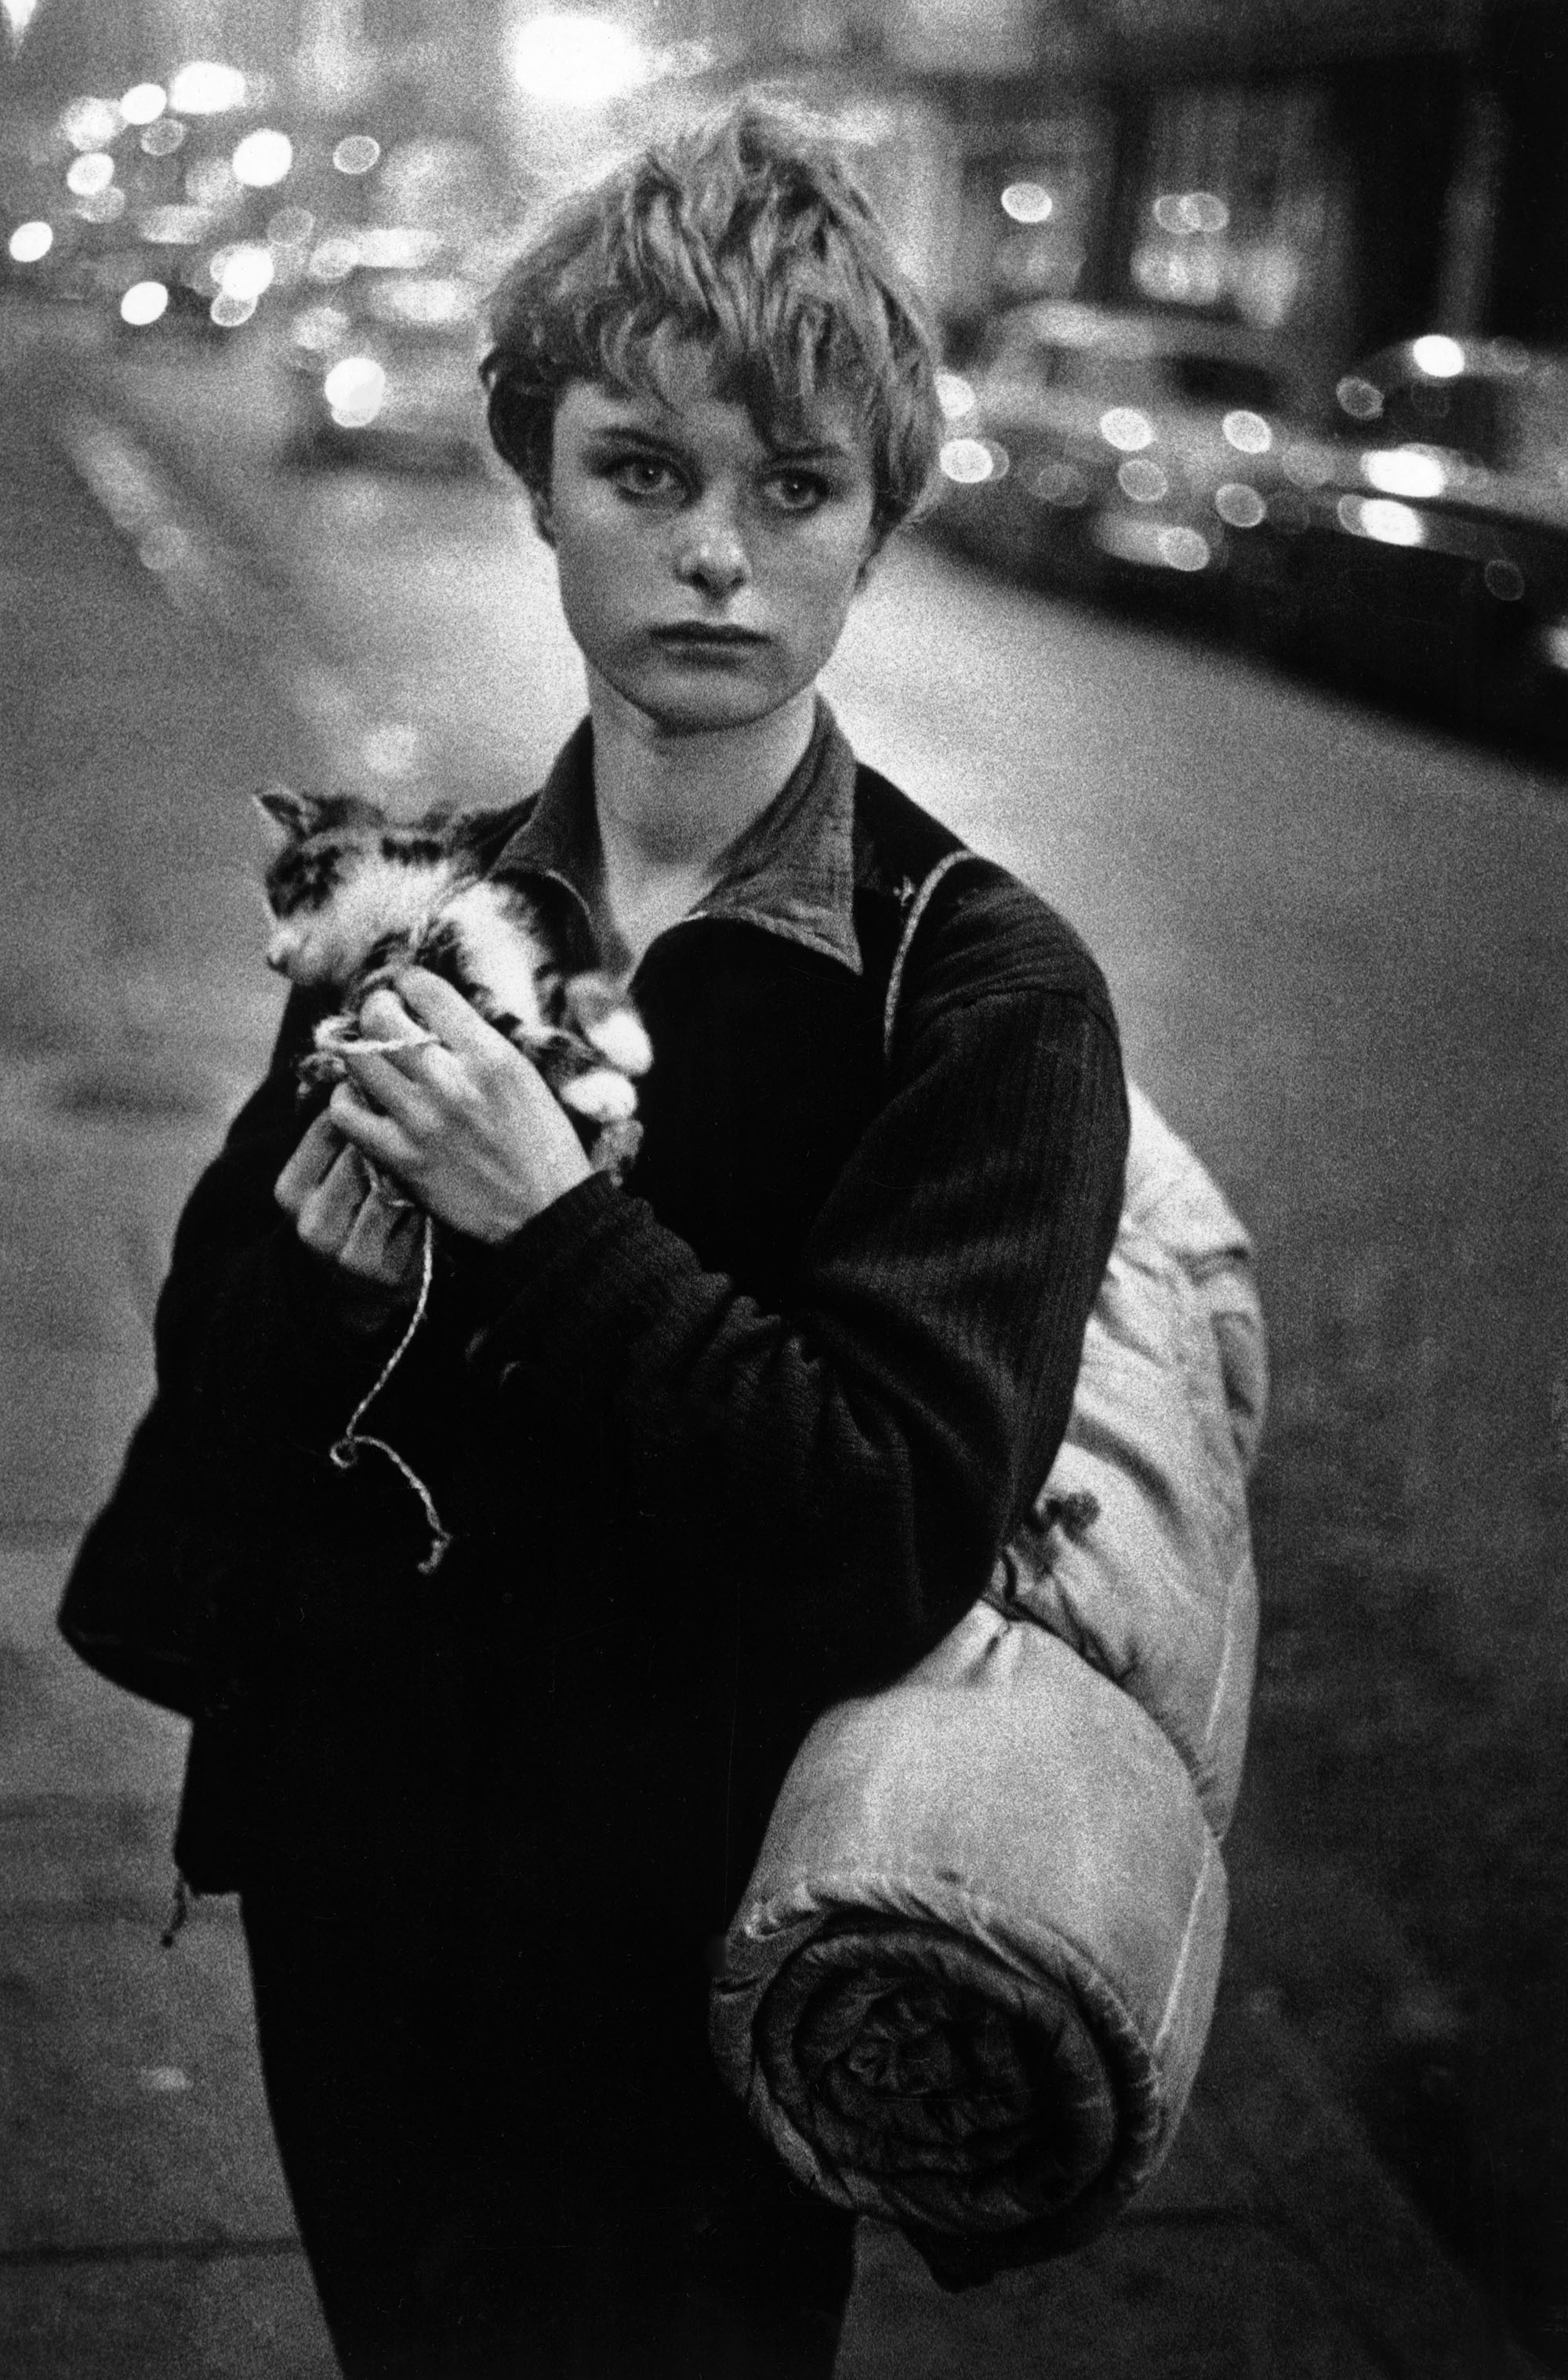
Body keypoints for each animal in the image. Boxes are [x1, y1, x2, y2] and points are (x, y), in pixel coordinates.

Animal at [258, 785, 652, 1185]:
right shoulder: (408, 993)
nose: (270, 958)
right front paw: (599, 1085)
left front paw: (627, 1040)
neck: (427, 908)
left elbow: (577, 983)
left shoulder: (531, 954)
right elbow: (512, 1029)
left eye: (282, 896)